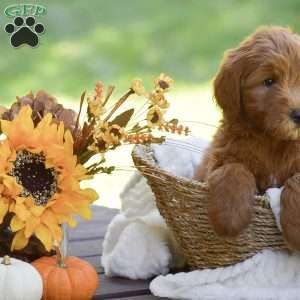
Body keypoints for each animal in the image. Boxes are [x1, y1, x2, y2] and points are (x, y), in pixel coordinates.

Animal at [195, 26, 300, 251]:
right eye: (269, 81)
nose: (299, 114)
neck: (272, 140)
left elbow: (297, 180)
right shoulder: (221, 156)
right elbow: (233, 170)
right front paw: (230, 218)